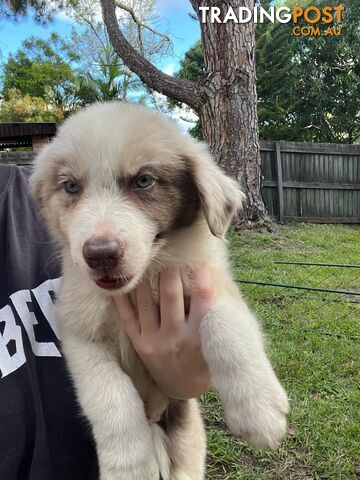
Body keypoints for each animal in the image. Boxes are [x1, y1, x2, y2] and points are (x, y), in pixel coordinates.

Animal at [31, 102, 290, 480]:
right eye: (71, 187)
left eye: (144, 181)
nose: (100, 255)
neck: (145, 278)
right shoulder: (80, 333)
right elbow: (111, 395)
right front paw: (128, 465)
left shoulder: (214, 287)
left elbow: (225, 325)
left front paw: (259, 413)